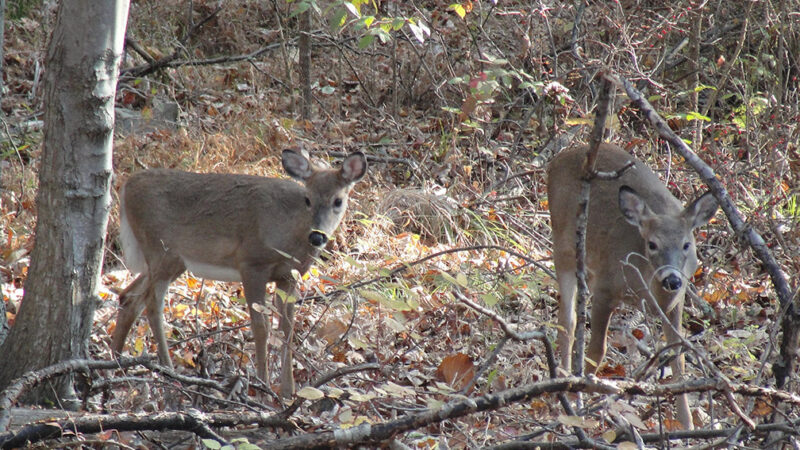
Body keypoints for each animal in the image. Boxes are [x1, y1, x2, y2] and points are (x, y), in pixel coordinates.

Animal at [111, 149, 368, 398]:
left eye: (338, 201)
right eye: (308, 199)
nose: (317, 236)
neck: (289, 234)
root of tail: (127, 185)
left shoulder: (288, 276)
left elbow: (287, 328)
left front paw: (288, 392)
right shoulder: (251, 263)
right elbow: (261, 327)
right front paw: (264, 390)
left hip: (172, 261)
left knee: (129, 297)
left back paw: (115, 363)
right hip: (160, 249)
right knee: (152, 304)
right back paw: (168, 371)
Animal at [552, 143, 720, 428]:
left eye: (687, 244)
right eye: (652, 244)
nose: (672, 279)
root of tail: (560, 157)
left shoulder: (676, 303)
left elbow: (679, 358)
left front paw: (687, 423)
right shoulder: (606, 288)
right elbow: (597, 350)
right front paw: (580, 399)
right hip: (562, 244)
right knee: (568, 319)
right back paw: (564, 381)